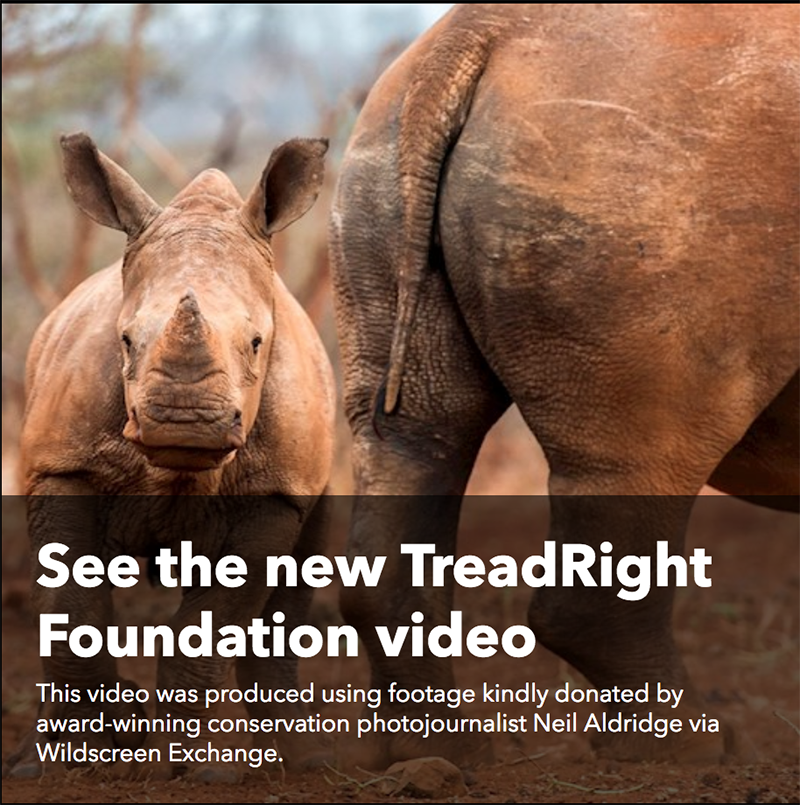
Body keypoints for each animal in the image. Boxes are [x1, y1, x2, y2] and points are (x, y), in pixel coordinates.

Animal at [6, 133, 335, 779]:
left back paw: (294, 763)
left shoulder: (278, 492)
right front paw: (88, 759)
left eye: (256, 342)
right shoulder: (60, 466)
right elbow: (72, 607)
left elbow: (215, 619)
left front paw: (192, 767)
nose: (185, 422)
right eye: (125, 339)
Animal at [331, 4, 799, 768]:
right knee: (646, 456)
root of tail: (468, 39)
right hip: (639, 172)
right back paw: (693, 751)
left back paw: (447, 756)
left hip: (380, 152)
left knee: (415, 438)